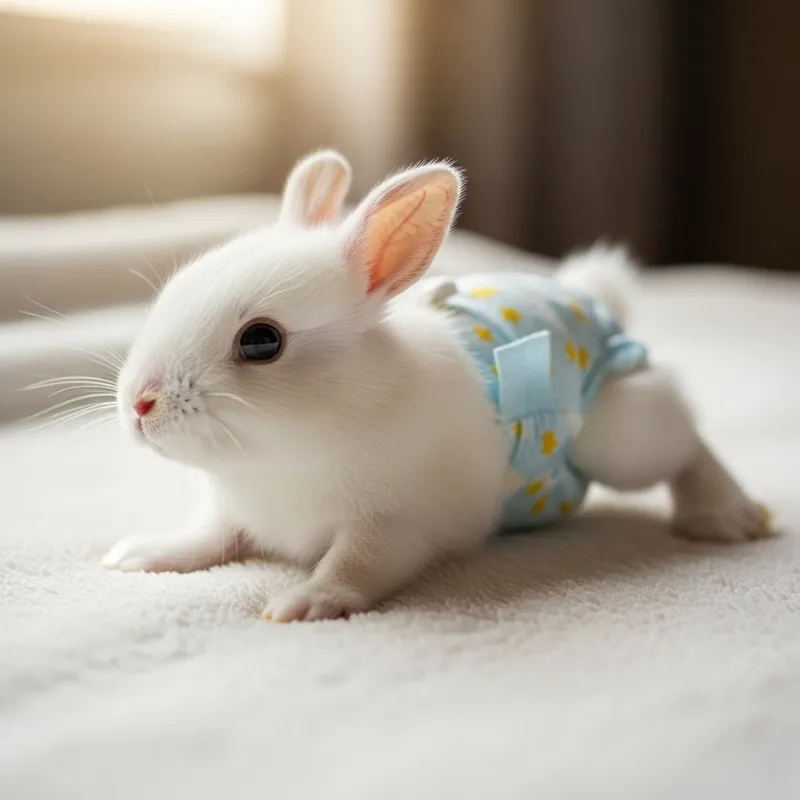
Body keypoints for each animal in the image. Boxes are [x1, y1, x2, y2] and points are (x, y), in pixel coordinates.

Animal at [102, 150, 772, 622]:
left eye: (262, 342)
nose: (139, 404)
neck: (282, 457)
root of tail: (593, 300)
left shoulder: (397, 523)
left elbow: (359, 563)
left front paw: (307, 601)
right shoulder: (232, 508)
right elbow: (212, 535)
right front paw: (144, 553)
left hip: (619, 439)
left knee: (685, 442)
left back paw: (725, 516)